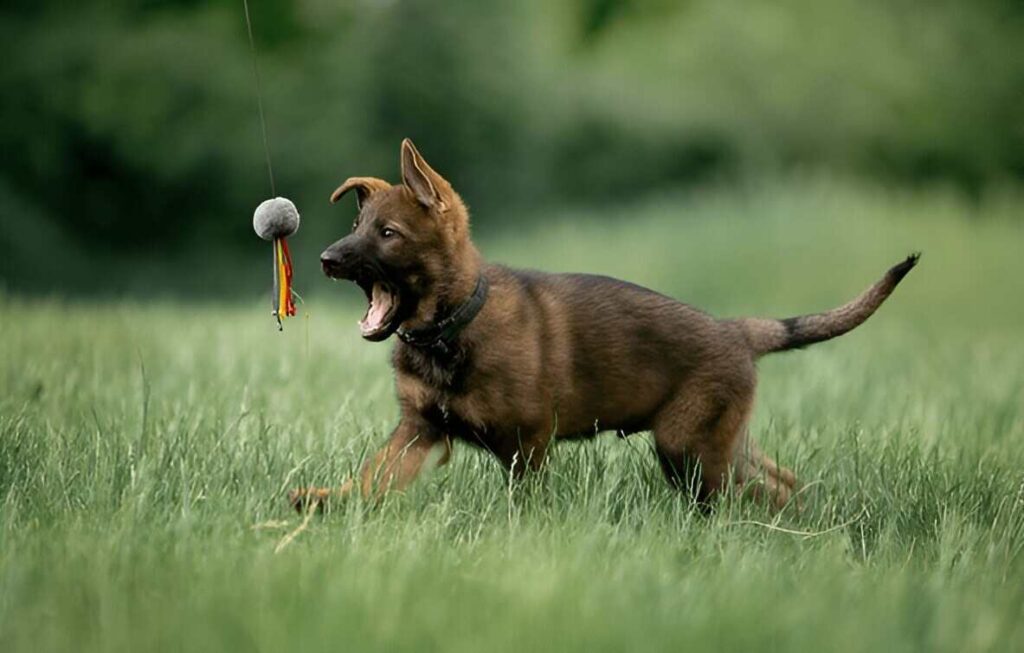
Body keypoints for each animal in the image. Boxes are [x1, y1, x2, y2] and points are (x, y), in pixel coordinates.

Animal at [290, 139, 921, 511]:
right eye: (356, 226)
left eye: (387, 234)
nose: (324, 258)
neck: (449, 329)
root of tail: (736, 330)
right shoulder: (417, 430)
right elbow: (371, 477)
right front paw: (323, 499)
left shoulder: (527, 441)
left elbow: (524, 502)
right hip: (720, 441)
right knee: (781, 484)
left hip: (688, 446)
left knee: (742, 497)